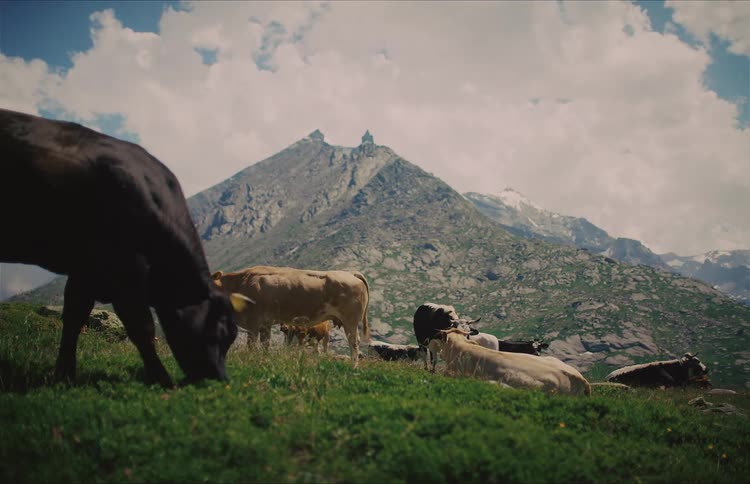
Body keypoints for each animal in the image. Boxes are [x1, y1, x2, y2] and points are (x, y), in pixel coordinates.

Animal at [0, 108, 246, 388]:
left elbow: (74, 316)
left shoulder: (86, 271)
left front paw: (65, 374)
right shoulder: (125, 267)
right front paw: (163, 379)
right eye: (222, 332)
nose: (220, 379)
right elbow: (141, 326)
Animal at [212, 266, 370, 366]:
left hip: (350, 320)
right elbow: (265, 345)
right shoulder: (265, 324)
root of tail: (351, 273)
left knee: (354, 343)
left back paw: (352, 367)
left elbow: (251, 346)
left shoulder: (253, 324)